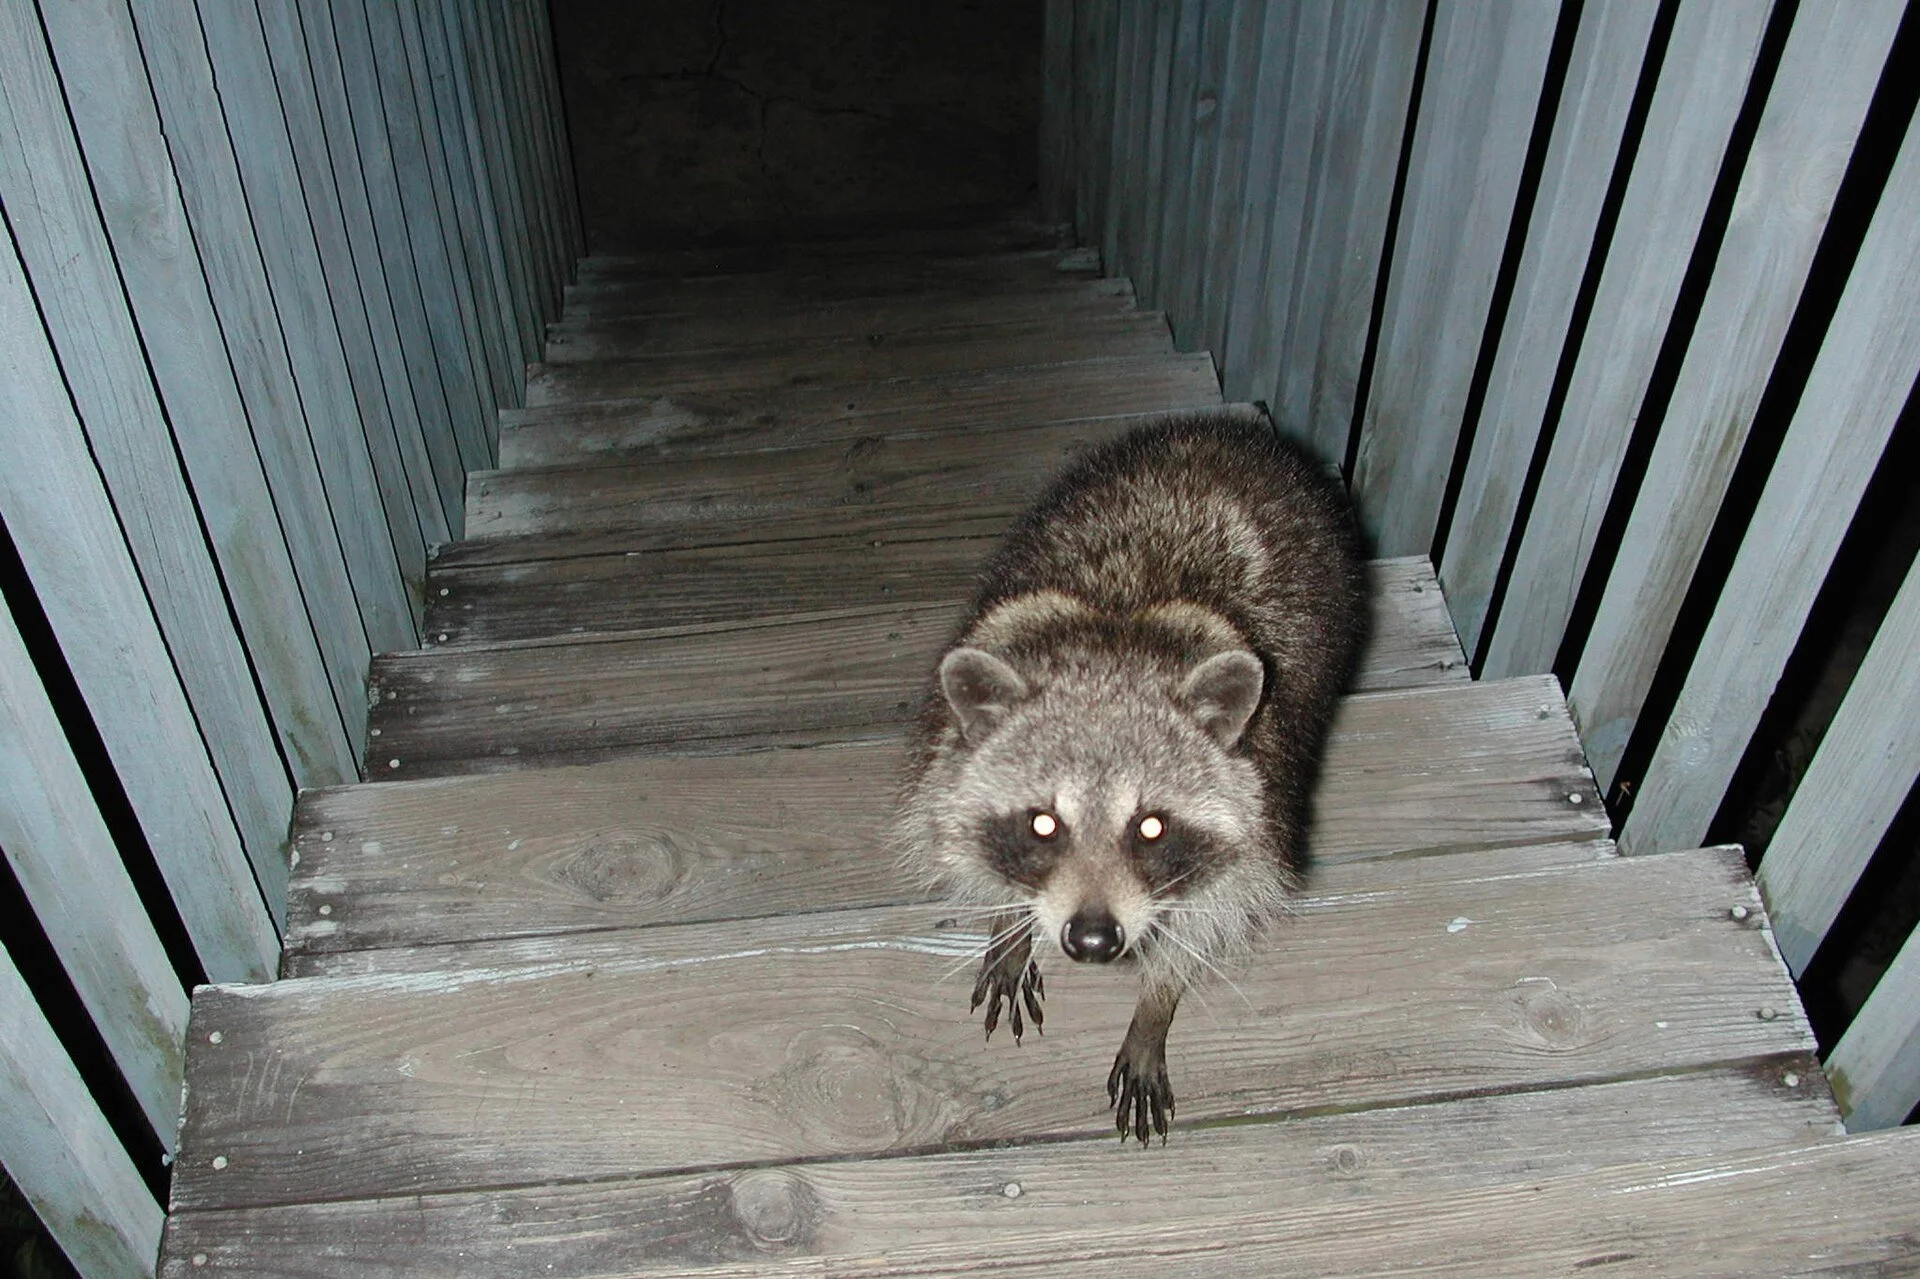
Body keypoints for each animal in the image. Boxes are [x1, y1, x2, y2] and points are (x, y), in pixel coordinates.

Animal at [893, 411, 1368, 1142]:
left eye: (1150, 827)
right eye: (1043, 823)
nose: (1093, 940)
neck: (1115, 641)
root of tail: (1229, 431)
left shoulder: (1261, 810)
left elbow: (1205, 919)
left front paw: (1155, 1006)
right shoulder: (943, 758)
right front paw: (1010, 919)